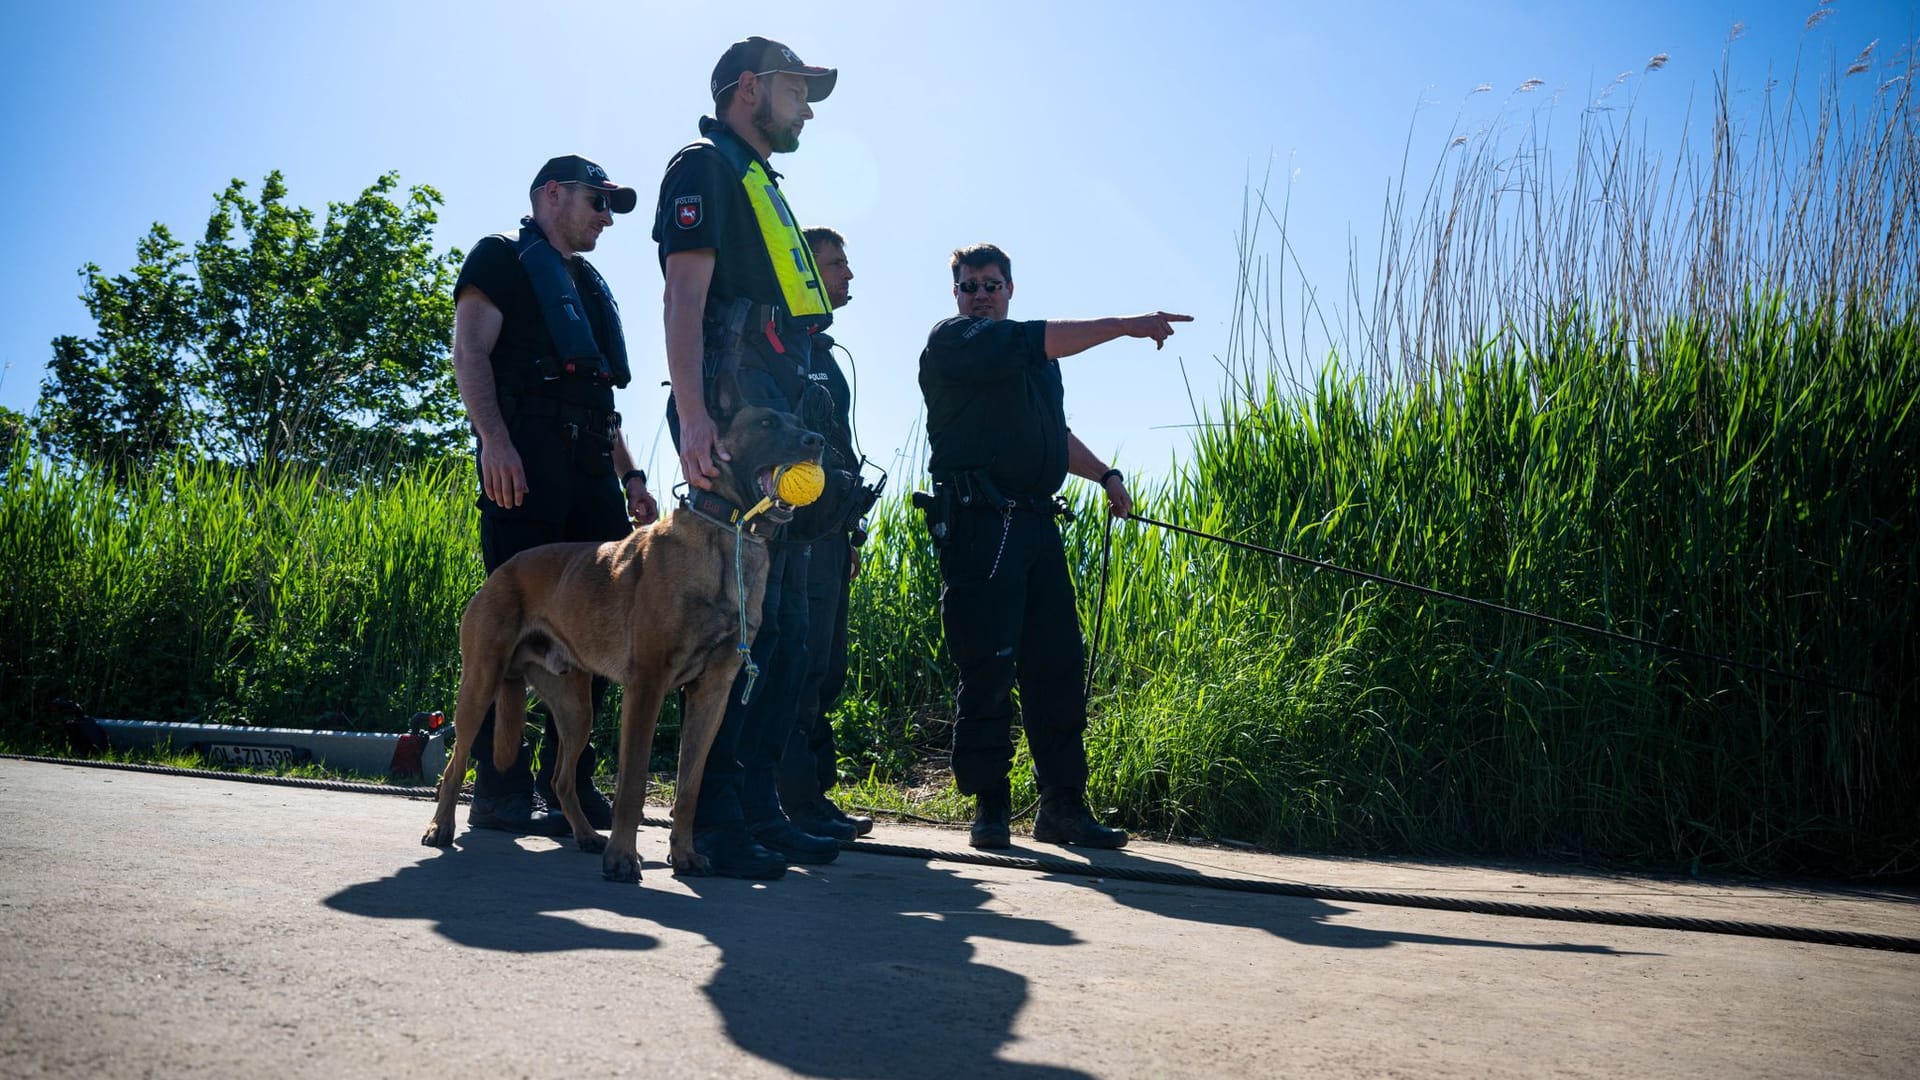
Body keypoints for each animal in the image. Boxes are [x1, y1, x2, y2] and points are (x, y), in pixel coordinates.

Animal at [422, 397, 825, 883]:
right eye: (767, 423)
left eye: (800, 423)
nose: (819, 441)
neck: (728, 536)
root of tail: (502, 571)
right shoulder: (646, 688)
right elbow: (632, 784)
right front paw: (622, 858)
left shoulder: (712, 695)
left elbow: (689, 788)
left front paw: (683, 854)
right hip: (480, 687)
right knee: (455, 764)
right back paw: (440, 827)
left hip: (576, 710)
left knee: (560, 779)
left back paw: (584, 835)